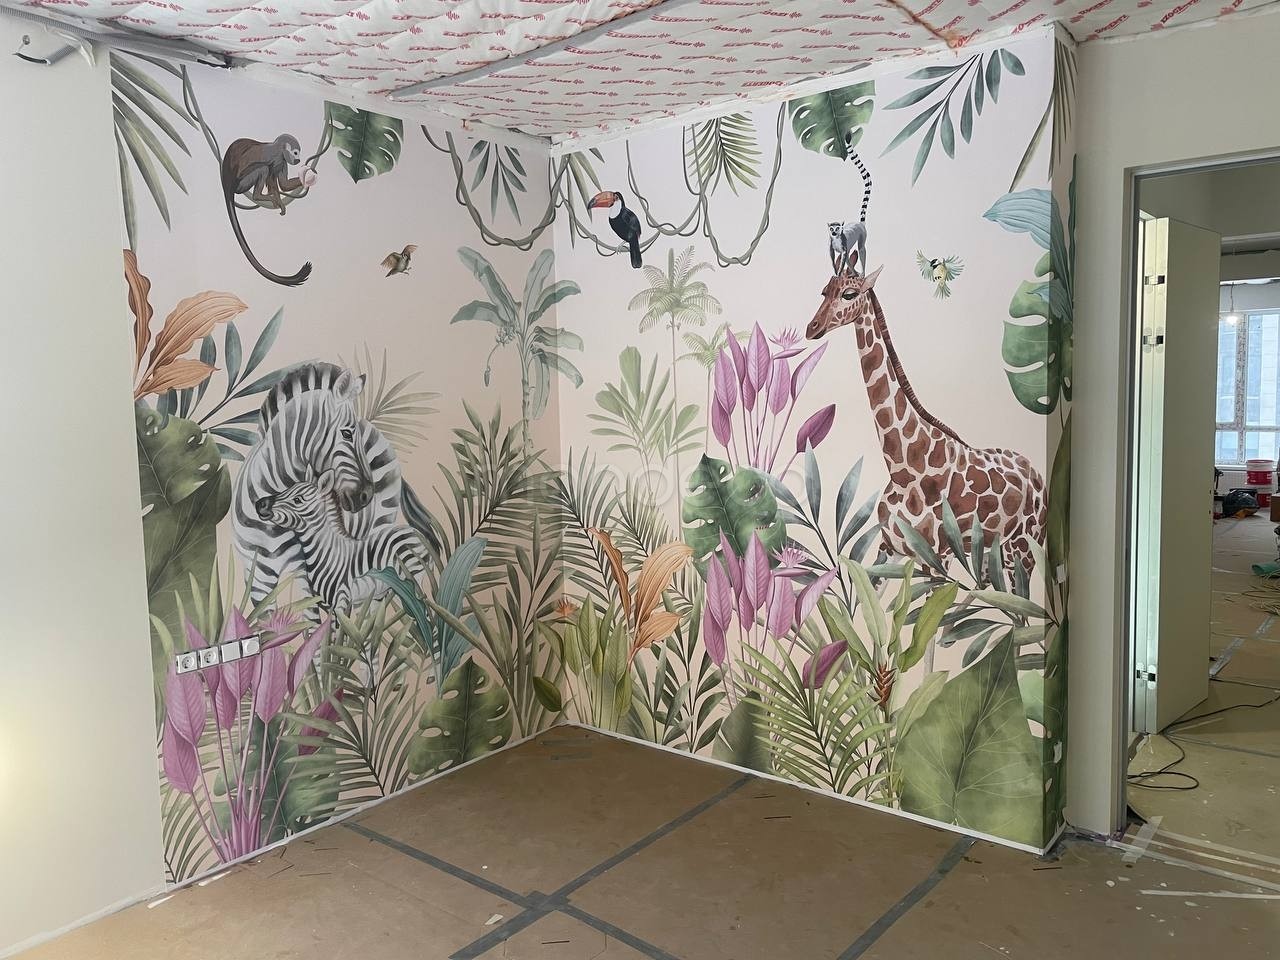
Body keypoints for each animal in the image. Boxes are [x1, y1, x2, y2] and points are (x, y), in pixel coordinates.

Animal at [256, 468, 426, 614]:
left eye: (297, 500)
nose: (259, 504)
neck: (327, 553)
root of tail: (414, 531)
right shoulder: (326, 605)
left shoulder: (342, 600)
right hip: (380, 592)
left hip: (413, 581)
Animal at [805, 266, 1046, 576]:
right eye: (824, 291)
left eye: (849, 293)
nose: (812, 328)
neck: (904, 468)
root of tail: (1037, 475)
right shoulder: (889, 547)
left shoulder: (938, 557)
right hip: (991, 555)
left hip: (1024, 550)